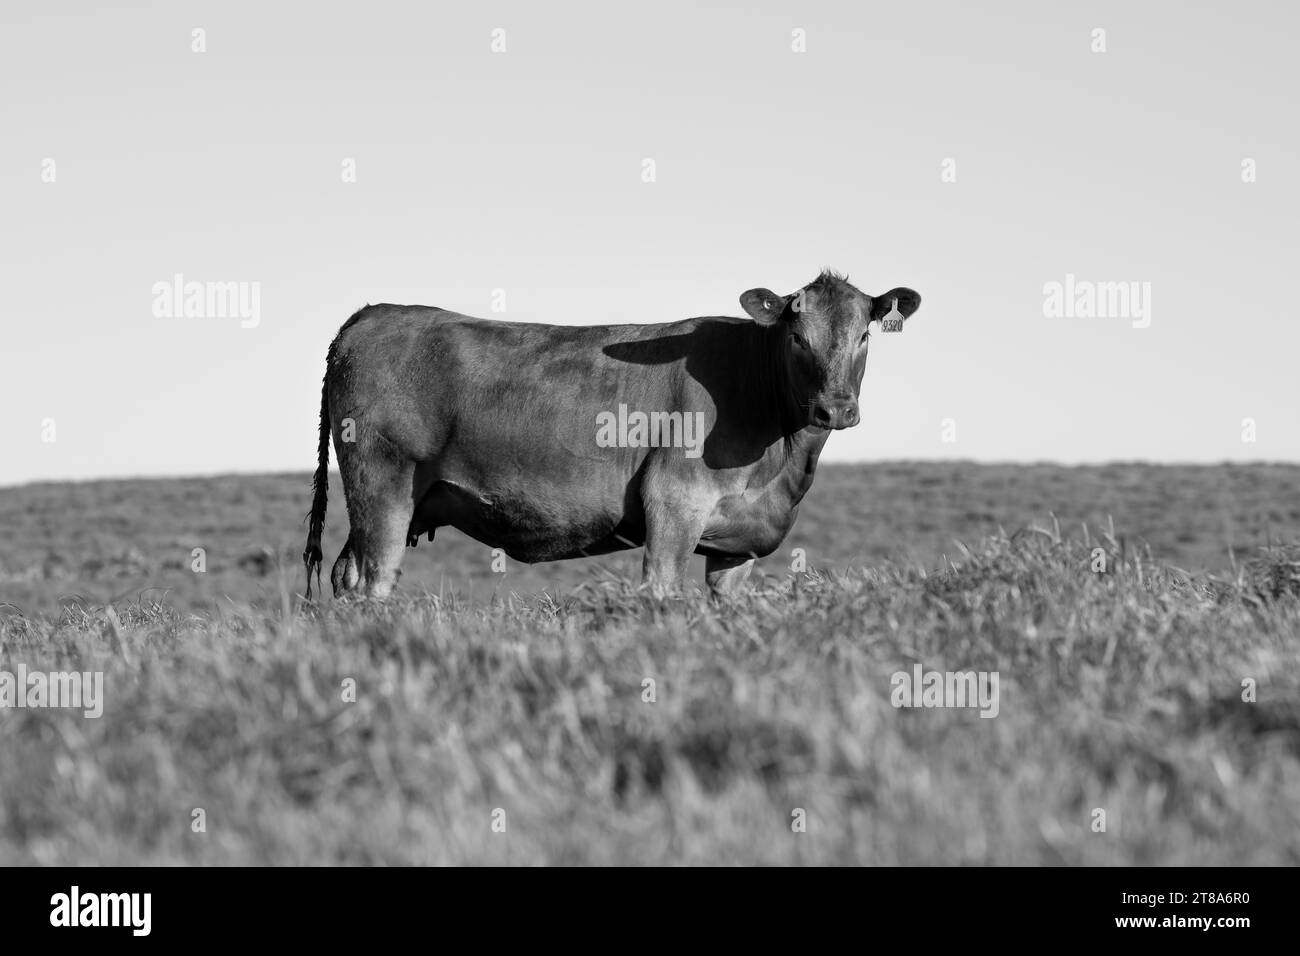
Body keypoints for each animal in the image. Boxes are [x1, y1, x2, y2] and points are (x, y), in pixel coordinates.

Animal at [300, 269, 920, 598]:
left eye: (865, 335)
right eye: (796, 335)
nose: (835, 408)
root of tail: (375, 311)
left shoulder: (736, 544)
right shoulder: (673, 504)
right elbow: (662, 590)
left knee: (344, 572)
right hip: (383, 486)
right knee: (371, 580)